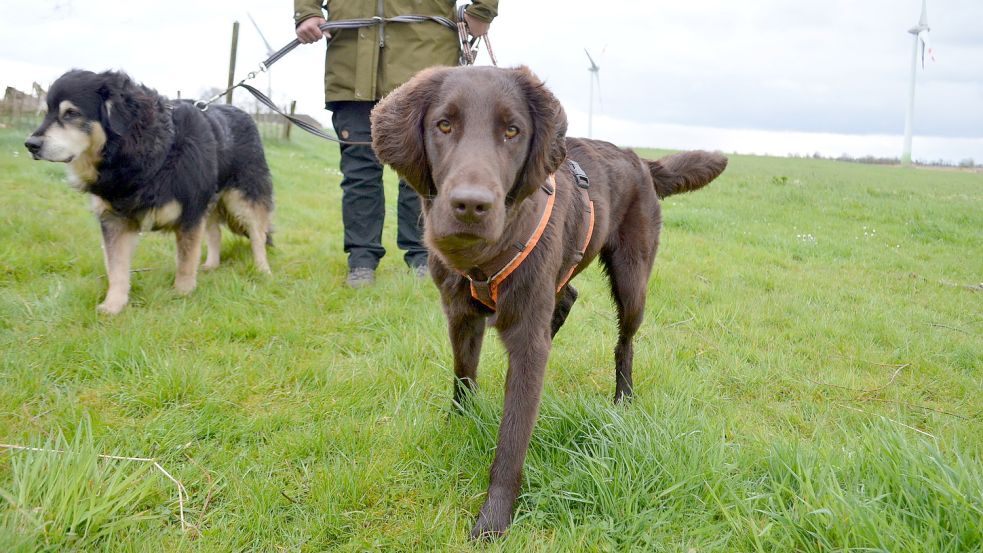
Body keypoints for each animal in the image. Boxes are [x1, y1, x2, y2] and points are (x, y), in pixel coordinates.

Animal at [26, 69, 272, 312]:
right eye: (46, 112)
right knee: (215, 232)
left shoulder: (191, 213)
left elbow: (186, 260)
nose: (30, 145)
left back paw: (262, 269)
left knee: (258, 235)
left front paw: (182, 294)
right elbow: (116, 268)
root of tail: (245, 114)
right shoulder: (113, 219)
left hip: (242, 198)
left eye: (71, 113)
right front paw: (113, 305)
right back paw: (211, 265)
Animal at [372, 66, 728, 540]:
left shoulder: (527, 340)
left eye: (512, 131)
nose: (470, 205)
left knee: (625, 342)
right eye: (443, 125)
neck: (484, 257)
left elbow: (512, 436)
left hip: (632, 282)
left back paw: (623, 401)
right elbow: (463, 378)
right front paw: (459, 425)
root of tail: (639, 159)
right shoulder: (460, 316)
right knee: (568, 297)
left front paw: (493, 520)